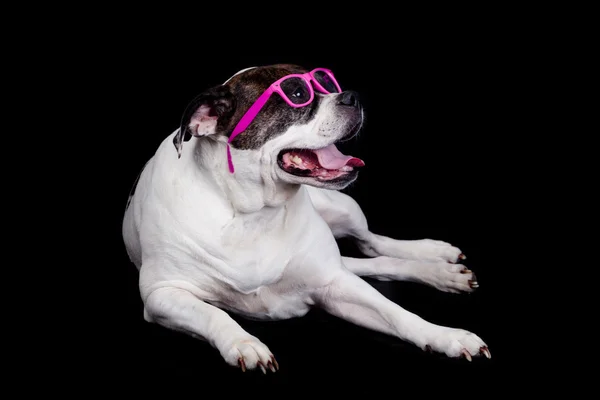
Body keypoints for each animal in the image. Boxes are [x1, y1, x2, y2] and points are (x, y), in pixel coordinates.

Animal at [123, 62, 492, 372]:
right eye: (299, 94)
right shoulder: (163, 295)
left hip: (344, 210)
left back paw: (436, 256)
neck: (252, 213)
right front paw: (243, 342)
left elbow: (397, 313)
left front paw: (446, 336)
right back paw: (444, 273)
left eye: (326, 82)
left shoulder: (334, 285)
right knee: (368, 261)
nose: (352, 95)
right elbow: (212, 312)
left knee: (373, 244)